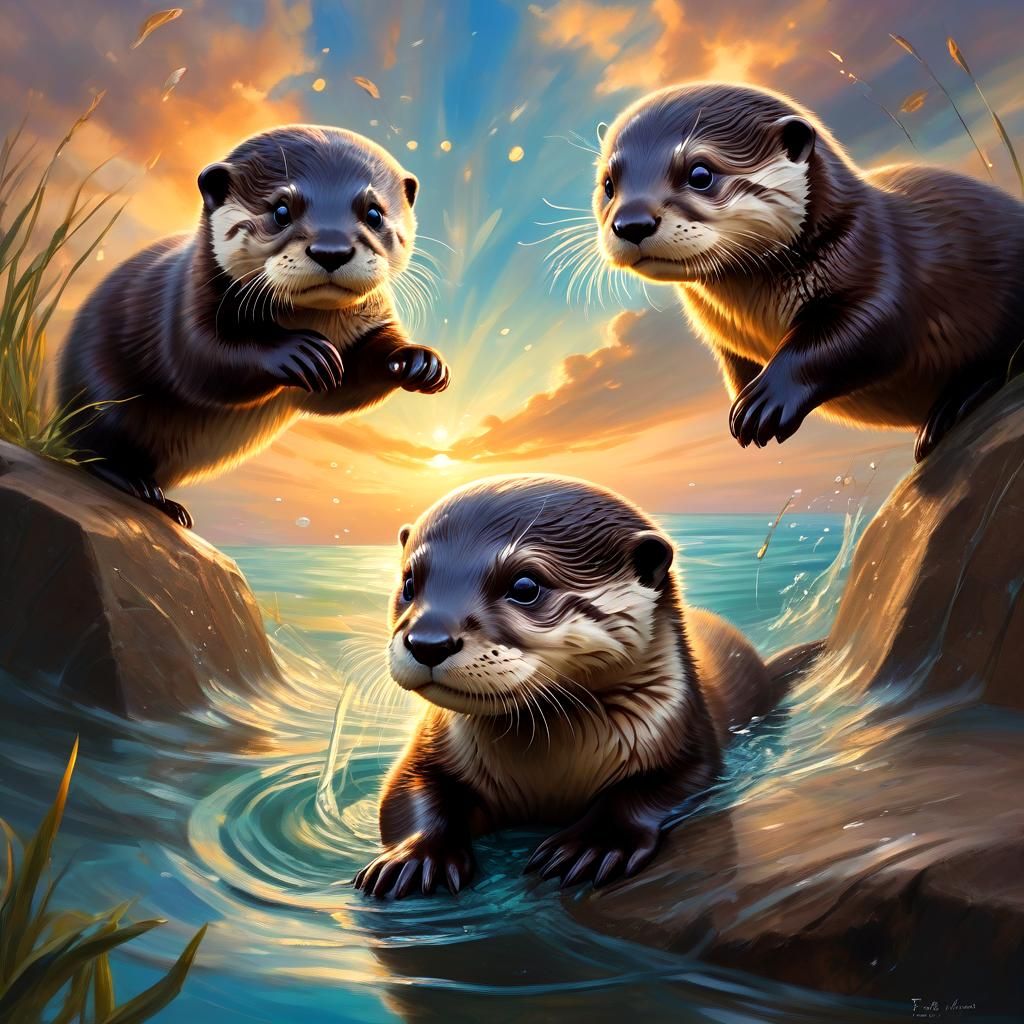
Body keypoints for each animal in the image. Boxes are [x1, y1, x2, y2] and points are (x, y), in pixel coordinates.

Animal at [58, 125, 449, 527]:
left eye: (373, 213)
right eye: (280, 210)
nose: (331, 250)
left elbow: (347, 387)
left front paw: (419, 361)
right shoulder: (186, 305)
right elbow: (201, 362)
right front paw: (297, 352)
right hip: (101, 396)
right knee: (88, 446)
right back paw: (139, 486)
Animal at [354, 474, 791, 898]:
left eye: (525, 586)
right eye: (410, 583)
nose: (428, 641)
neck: (547, 780)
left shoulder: (690, 739)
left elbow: (664, 789)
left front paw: (594, 845)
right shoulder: (430, 747)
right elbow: (404, 792)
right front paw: (414, 858)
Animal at [592, 82, 1024, 460]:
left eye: (700, 174)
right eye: (609, 184)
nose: (631, 223)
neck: (753, 317)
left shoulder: (878, 263)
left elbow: (865, 332)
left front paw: (763, 402)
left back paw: (952, 407)